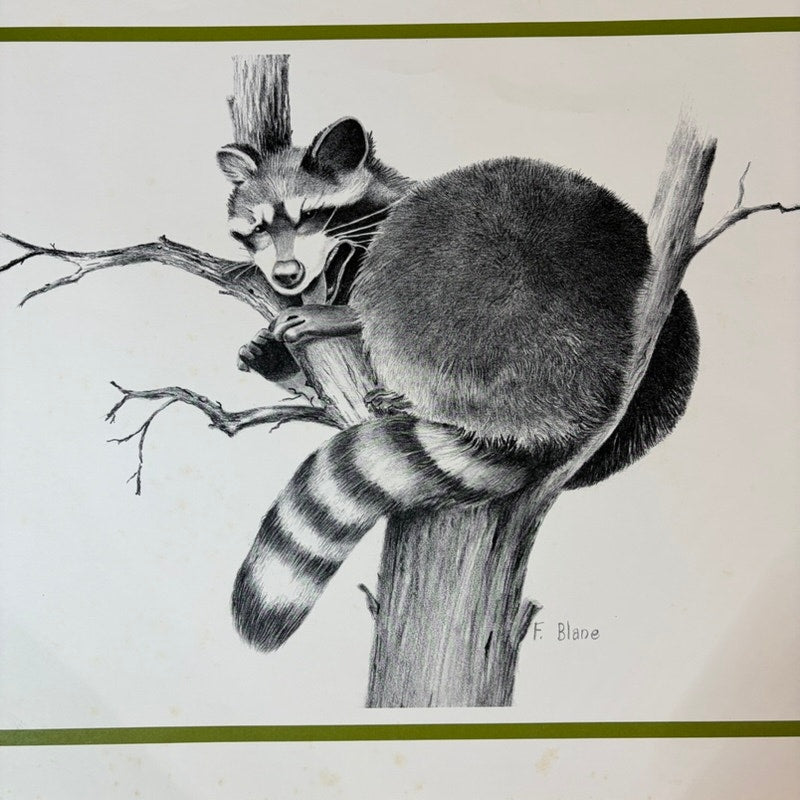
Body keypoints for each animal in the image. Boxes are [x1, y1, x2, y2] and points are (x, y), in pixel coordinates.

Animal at [219, 119, 699, 652]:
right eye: (258, 228)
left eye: (308, 216)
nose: (287, 275)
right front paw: (277, 359)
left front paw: (333, 315)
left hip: (482, 300)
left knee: (407, 263)